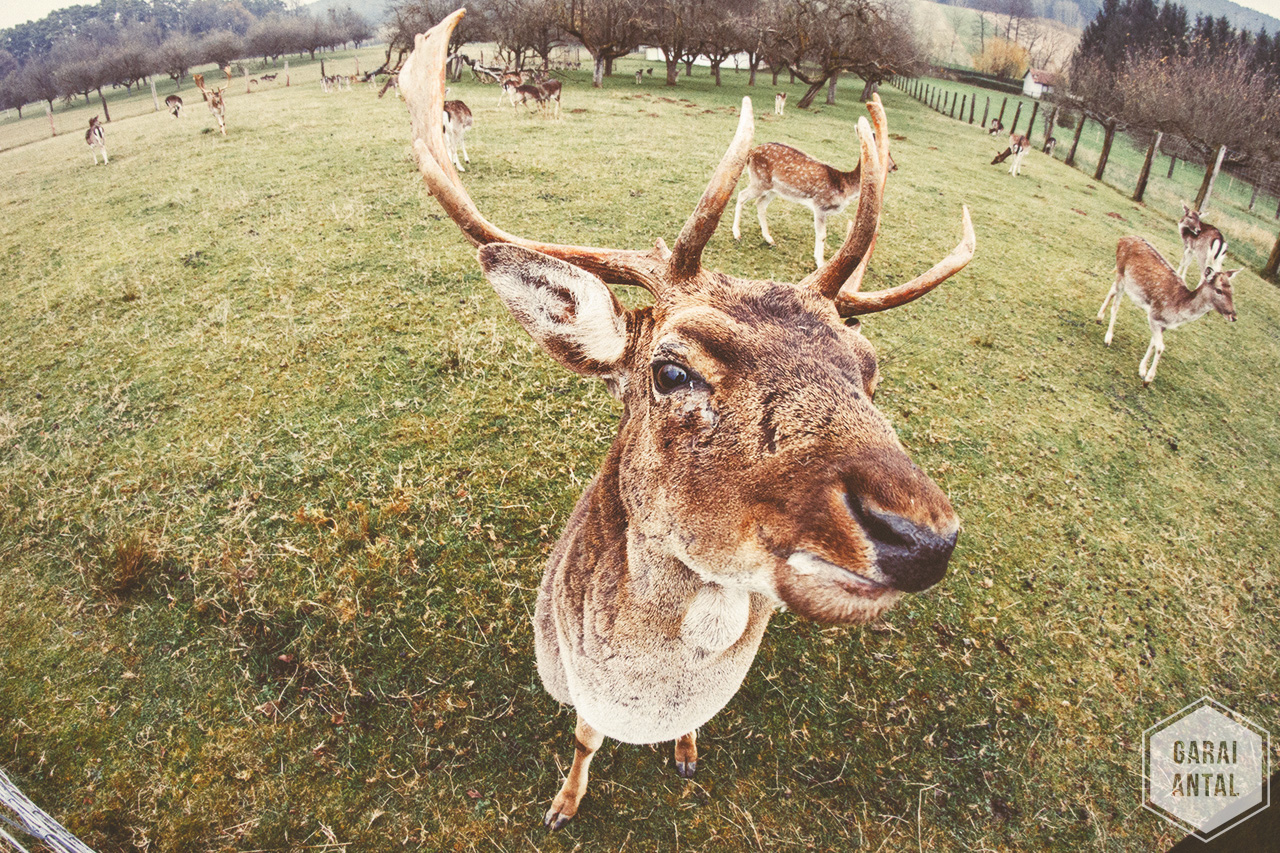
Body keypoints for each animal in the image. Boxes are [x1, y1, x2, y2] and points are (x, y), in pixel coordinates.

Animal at [732, 139, 901, 266]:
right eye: (884, 153)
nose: (895, 166)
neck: (845, 188)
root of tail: (751, 152)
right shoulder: (820, 205)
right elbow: (822, 235)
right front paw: (820, 262)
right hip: (760, 181)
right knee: (741, 195)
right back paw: (737, 234)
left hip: (773, 189)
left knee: (760, 204)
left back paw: (769, 239)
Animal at [1095, 234, 1233, 384]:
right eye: (1219, 290)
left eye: (1232, 291)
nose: (1233, 315)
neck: (1177, 311)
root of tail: (1122, 238)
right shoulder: (1153, 315)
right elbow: (1160, 347)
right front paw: (1148, 379)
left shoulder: (1164, 324)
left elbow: (1153, 343)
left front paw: (1142, 370)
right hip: (1121, 274)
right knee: (1116, 305)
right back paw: (1108, 338)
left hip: (1122, 279)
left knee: (1111, 289)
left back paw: (1099, 318)